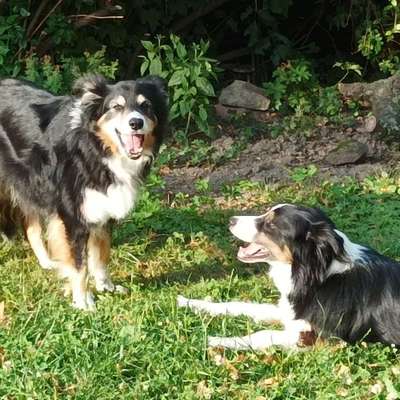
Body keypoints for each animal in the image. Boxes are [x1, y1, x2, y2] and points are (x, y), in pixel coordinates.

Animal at [0, 76, 168, 312]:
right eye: (116, 107)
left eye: (146, 105)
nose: (136, 123)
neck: (95, 148)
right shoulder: (73, 219)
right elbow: (79, 264)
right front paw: (82, 301)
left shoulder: (103, 211)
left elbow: (101, 254)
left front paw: (106, 287)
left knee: (30, 226)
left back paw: (47, 262)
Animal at [178, 205, 400, 348]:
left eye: (270, 225)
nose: (231, 220)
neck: (317, 276)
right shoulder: (289, 310)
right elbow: (239, 305)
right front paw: (190, 302)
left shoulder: (316, 338)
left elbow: (262, 334)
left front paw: (217, 340)